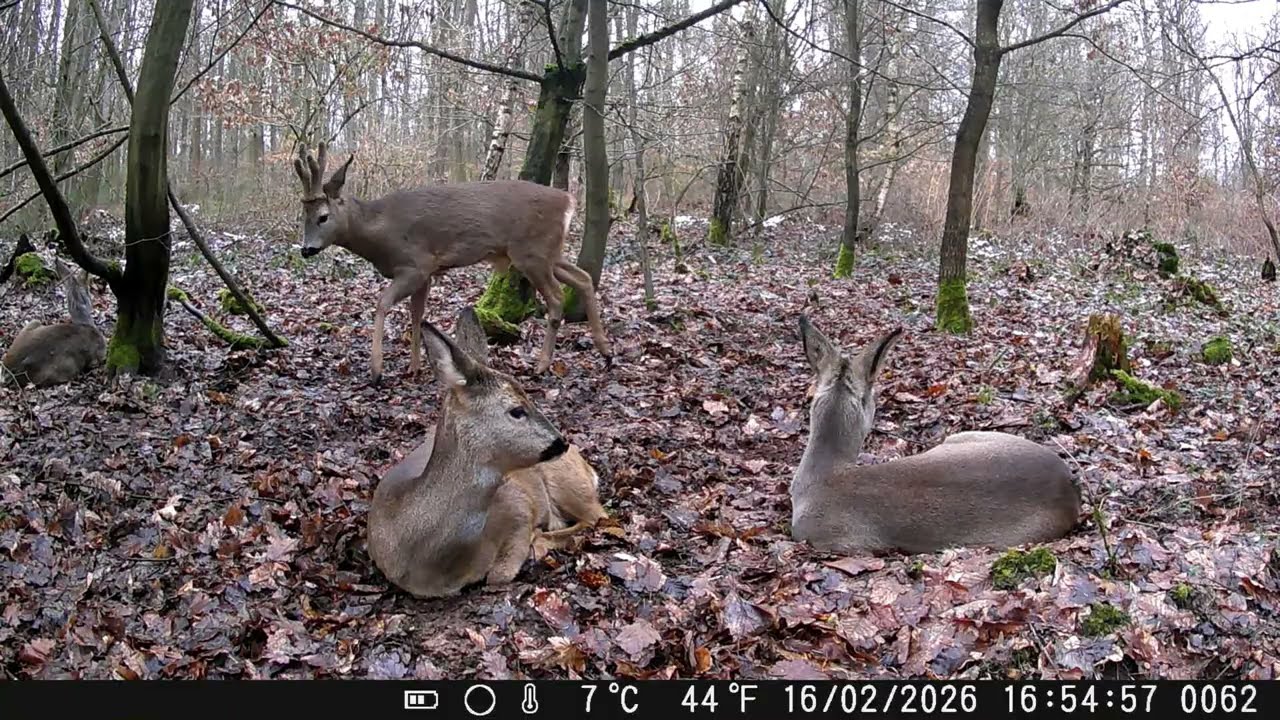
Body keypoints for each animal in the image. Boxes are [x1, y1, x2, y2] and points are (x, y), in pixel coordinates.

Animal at [291, 142, 612, 384]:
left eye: (323, 216)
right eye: (303, 216)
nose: (306, 249)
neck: (380, 231)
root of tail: (569, 201)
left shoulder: (415, 264)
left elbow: (383, 304)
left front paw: (377, 371)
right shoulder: (427, 273)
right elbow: (416, 315)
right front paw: (414, 367)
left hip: (531, 252)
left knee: (557, 298)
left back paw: (543, 365)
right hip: (547, 252)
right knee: (583, 277)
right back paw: (605, 351)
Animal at [368, 307, 607, 598]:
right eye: (517, 410)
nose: (561, 443)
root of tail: (586, 465)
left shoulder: (517, 504)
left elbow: (498, 574)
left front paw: (533, 544)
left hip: (569, 483)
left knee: (597, 516)